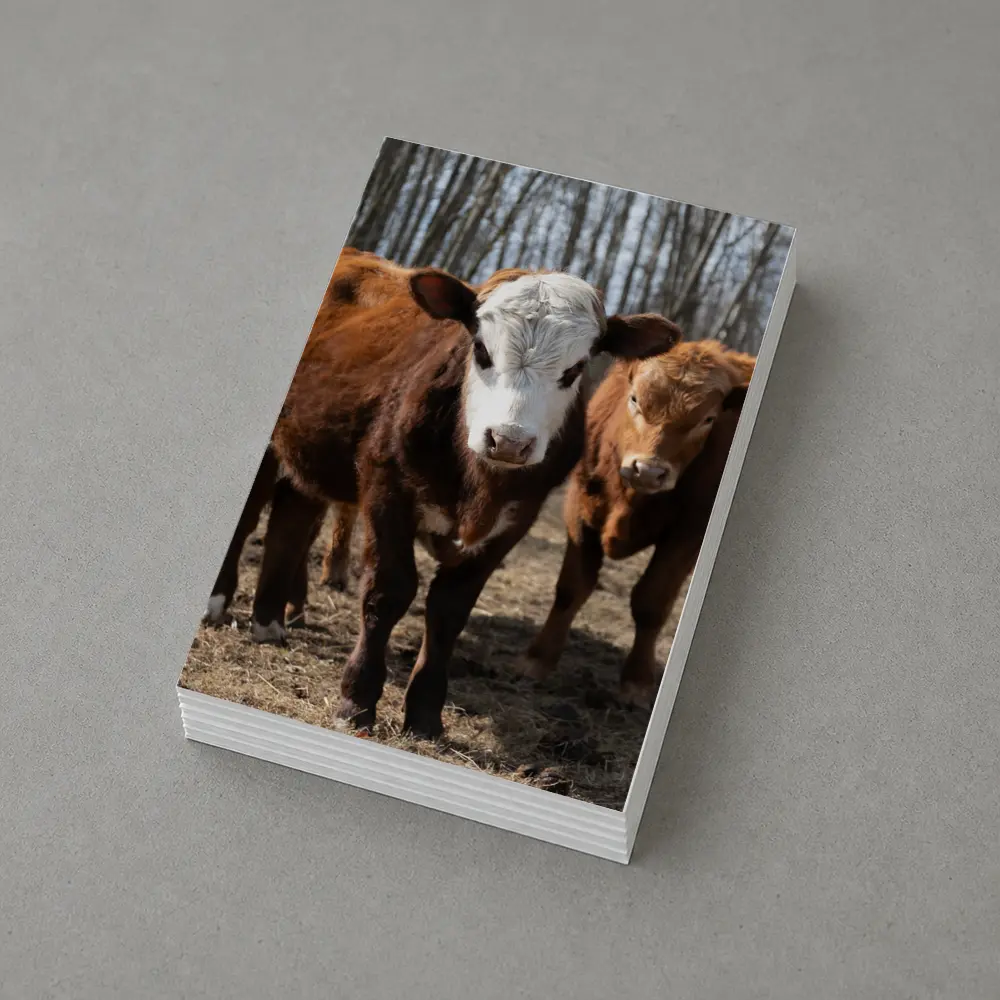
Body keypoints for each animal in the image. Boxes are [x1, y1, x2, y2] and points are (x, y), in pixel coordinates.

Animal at [208, 247, 682, 738]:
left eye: (575, 368)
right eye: (481, 349)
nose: (508, 440)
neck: (475, 484)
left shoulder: (515, 519)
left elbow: (450, 610)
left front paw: (424, 713)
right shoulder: (387, 487)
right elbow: (389, 590)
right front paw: (357, 699)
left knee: (291, 519)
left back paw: (268, 623)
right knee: (248, 519)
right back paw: (219, 603)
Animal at [518, 339, 755, 707]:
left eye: (708, 419)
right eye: (634, 400)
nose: (648, 470)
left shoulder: (690, 532)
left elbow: (651, 602)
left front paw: (637, 682)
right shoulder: (579, 508)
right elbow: (572, 588)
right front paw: (538, 659)